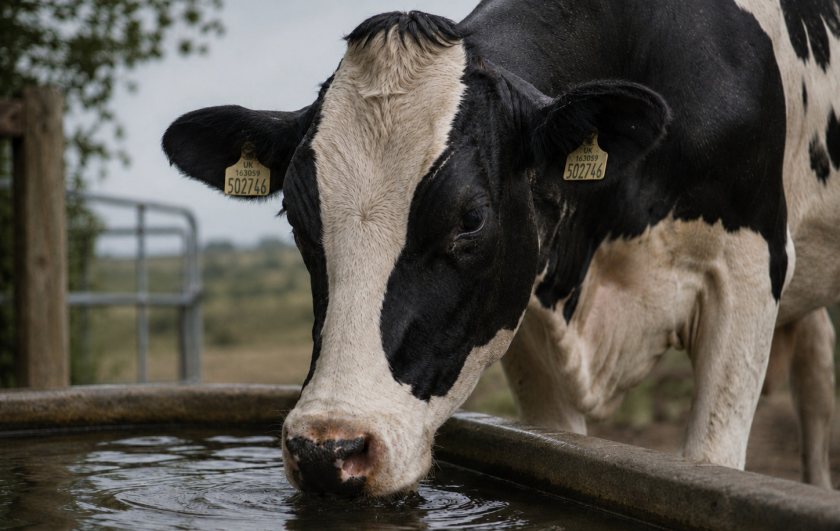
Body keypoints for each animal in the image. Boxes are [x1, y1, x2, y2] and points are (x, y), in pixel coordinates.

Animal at [162, 0, 840, 496]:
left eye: (471, 219)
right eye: (298, 218)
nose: (328, 451)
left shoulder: (747, 274)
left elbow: (713, 457)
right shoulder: (530, 322)